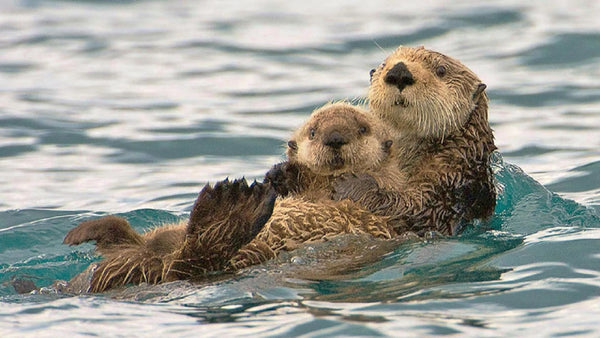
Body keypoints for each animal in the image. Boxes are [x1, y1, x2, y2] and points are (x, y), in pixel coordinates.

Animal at [332, 44, 496, 235]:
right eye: (384, 65)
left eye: (441, 70)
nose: (399, 72)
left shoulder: (451, 176)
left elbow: (417, 211)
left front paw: (352, 183)